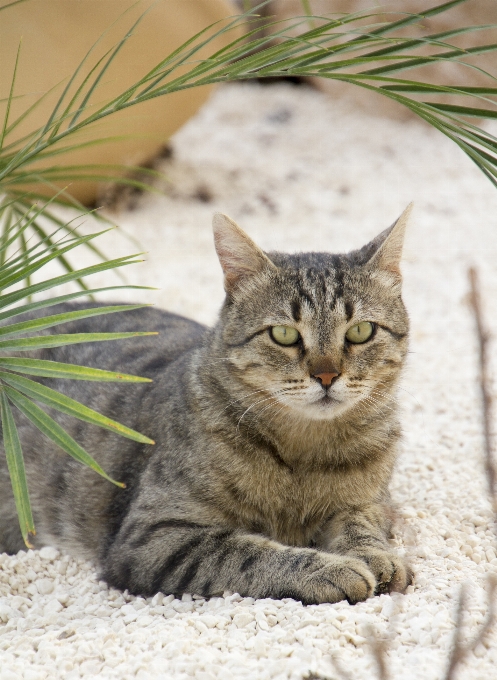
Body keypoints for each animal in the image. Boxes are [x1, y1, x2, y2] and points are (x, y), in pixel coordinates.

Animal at [0, 209, 410, 604]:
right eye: (283, 334)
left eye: (360, 331)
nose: (326, 376)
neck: (304, 452)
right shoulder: (155, 536)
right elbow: (248, 553)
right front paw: (330, 569)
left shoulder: (372, 501)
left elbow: (361, 524)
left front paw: (376, 556)